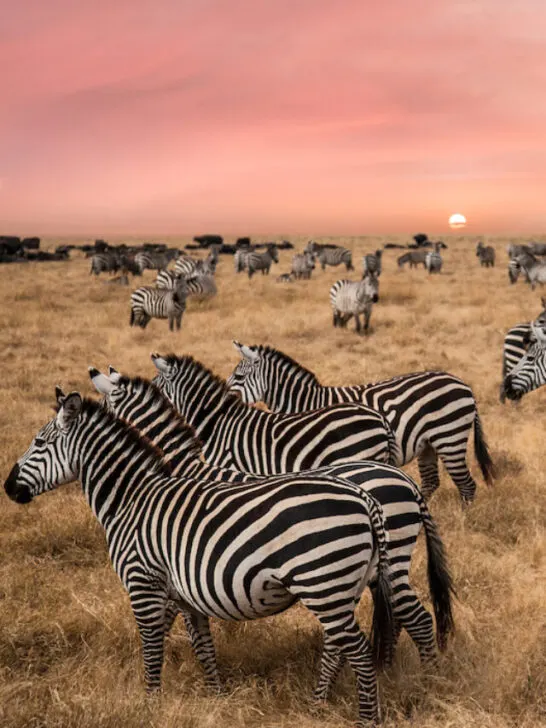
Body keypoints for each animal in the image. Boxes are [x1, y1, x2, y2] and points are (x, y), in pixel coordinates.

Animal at [4, 389, 396, 725]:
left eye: (39, 443)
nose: (7, 487)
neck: (130, 499)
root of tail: (363, 497)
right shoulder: (184, 594)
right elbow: (203, 647)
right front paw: (216, 699)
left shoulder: (142, 583)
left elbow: (152, 646)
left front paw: (149, 704)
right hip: (341, 589)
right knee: (339, 647)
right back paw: (323, 705)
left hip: (323, 581)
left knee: (360, 652)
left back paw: (366, 718)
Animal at [227, 343, 495, 504]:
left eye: (238, 377)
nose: (225, 397)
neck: (305, 403)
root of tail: (463, 384)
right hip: (428, 444)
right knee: (431, 482)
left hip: (450, 437)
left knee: (466, 484)